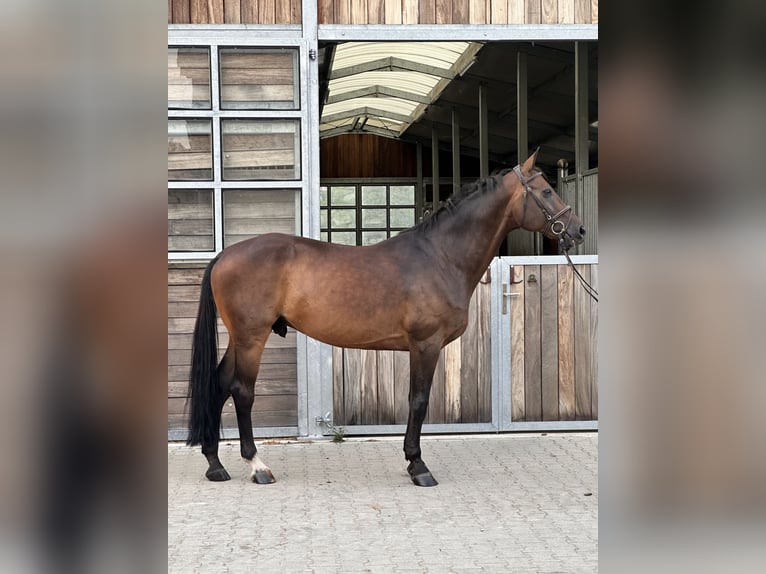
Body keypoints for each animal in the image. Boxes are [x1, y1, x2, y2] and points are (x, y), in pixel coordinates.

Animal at [186, 150, 585, 487]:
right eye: (547, 190)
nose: (578, 230)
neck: (440, 256)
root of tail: (225, 255)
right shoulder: (425, 344)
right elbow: (418, 401)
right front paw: (418, 466)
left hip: (240, 339)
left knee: (218, 384)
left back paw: (215, 464)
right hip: (251, 338)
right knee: (241, 391)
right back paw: (257, 466)